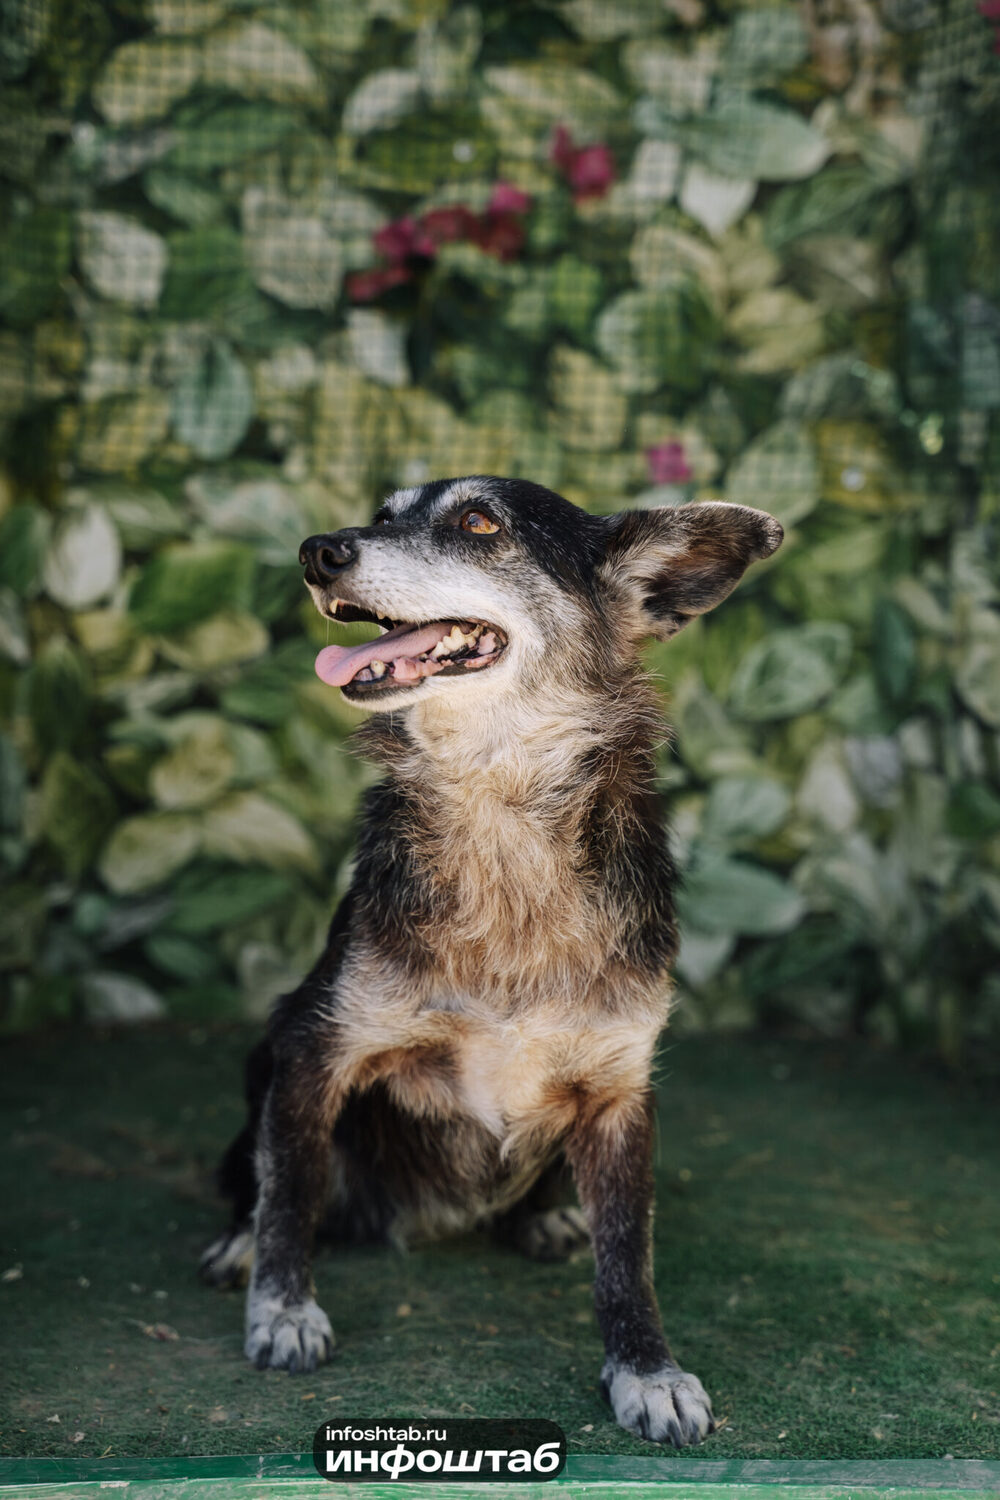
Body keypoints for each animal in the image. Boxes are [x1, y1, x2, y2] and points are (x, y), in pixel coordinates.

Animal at [200, 475, 782, 1446]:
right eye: (384, 513)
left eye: (479, 523)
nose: (318, 551)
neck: (500, 808)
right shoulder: (313, 1047)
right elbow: (289, 1190)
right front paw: (282, 1309)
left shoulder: (621, 1093)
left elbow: (630, 1255)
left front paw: (647, 1372)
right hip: (262, 1057)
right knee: (265, 1170)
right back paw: (241, 1243)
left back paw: (544, 1218)